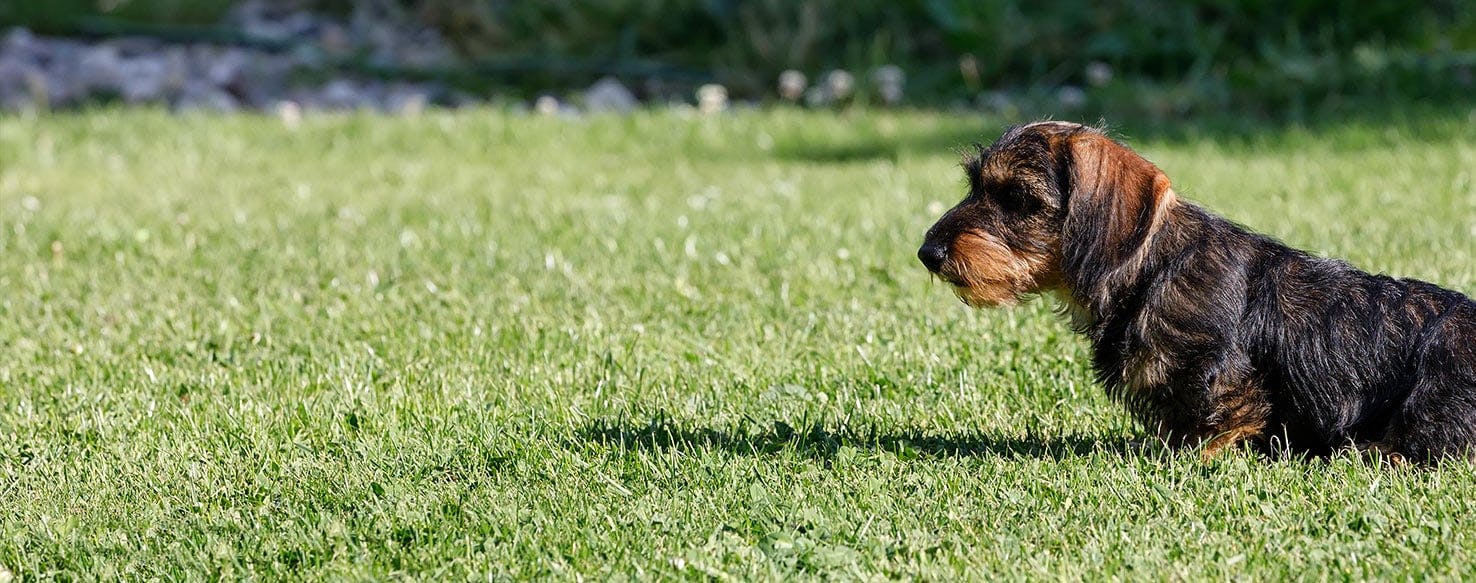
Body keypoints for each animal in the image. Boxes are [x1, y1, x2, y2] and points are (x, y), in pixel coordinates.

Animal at [915, 123, 1476, 466]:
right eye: (974, 186)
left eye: (1017, 197)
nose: (928, 252)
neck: (1150, 269)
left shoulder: (1226, 377)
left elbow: (1216, 424)